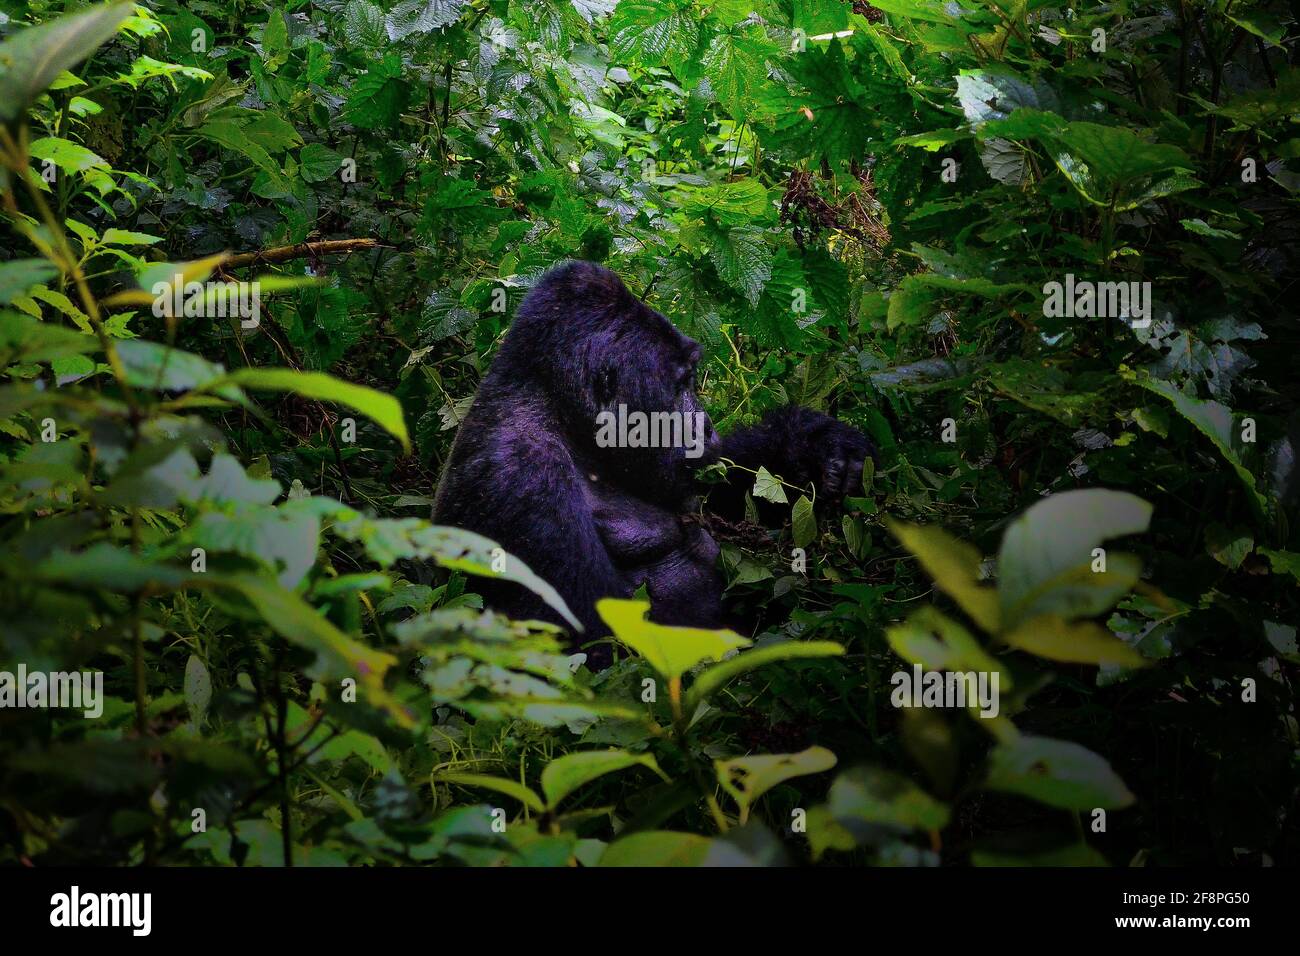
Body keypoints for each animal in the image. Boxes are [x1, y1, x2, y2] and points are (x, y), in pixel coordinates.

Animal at [431, 260, 868, 665]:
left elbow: (725, 493)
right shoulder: (523, 480)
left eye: (692, 379)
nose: (706, 426)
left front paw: (815, 444)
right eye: (679, 384)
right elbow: (594, 652)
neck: (560, 413)